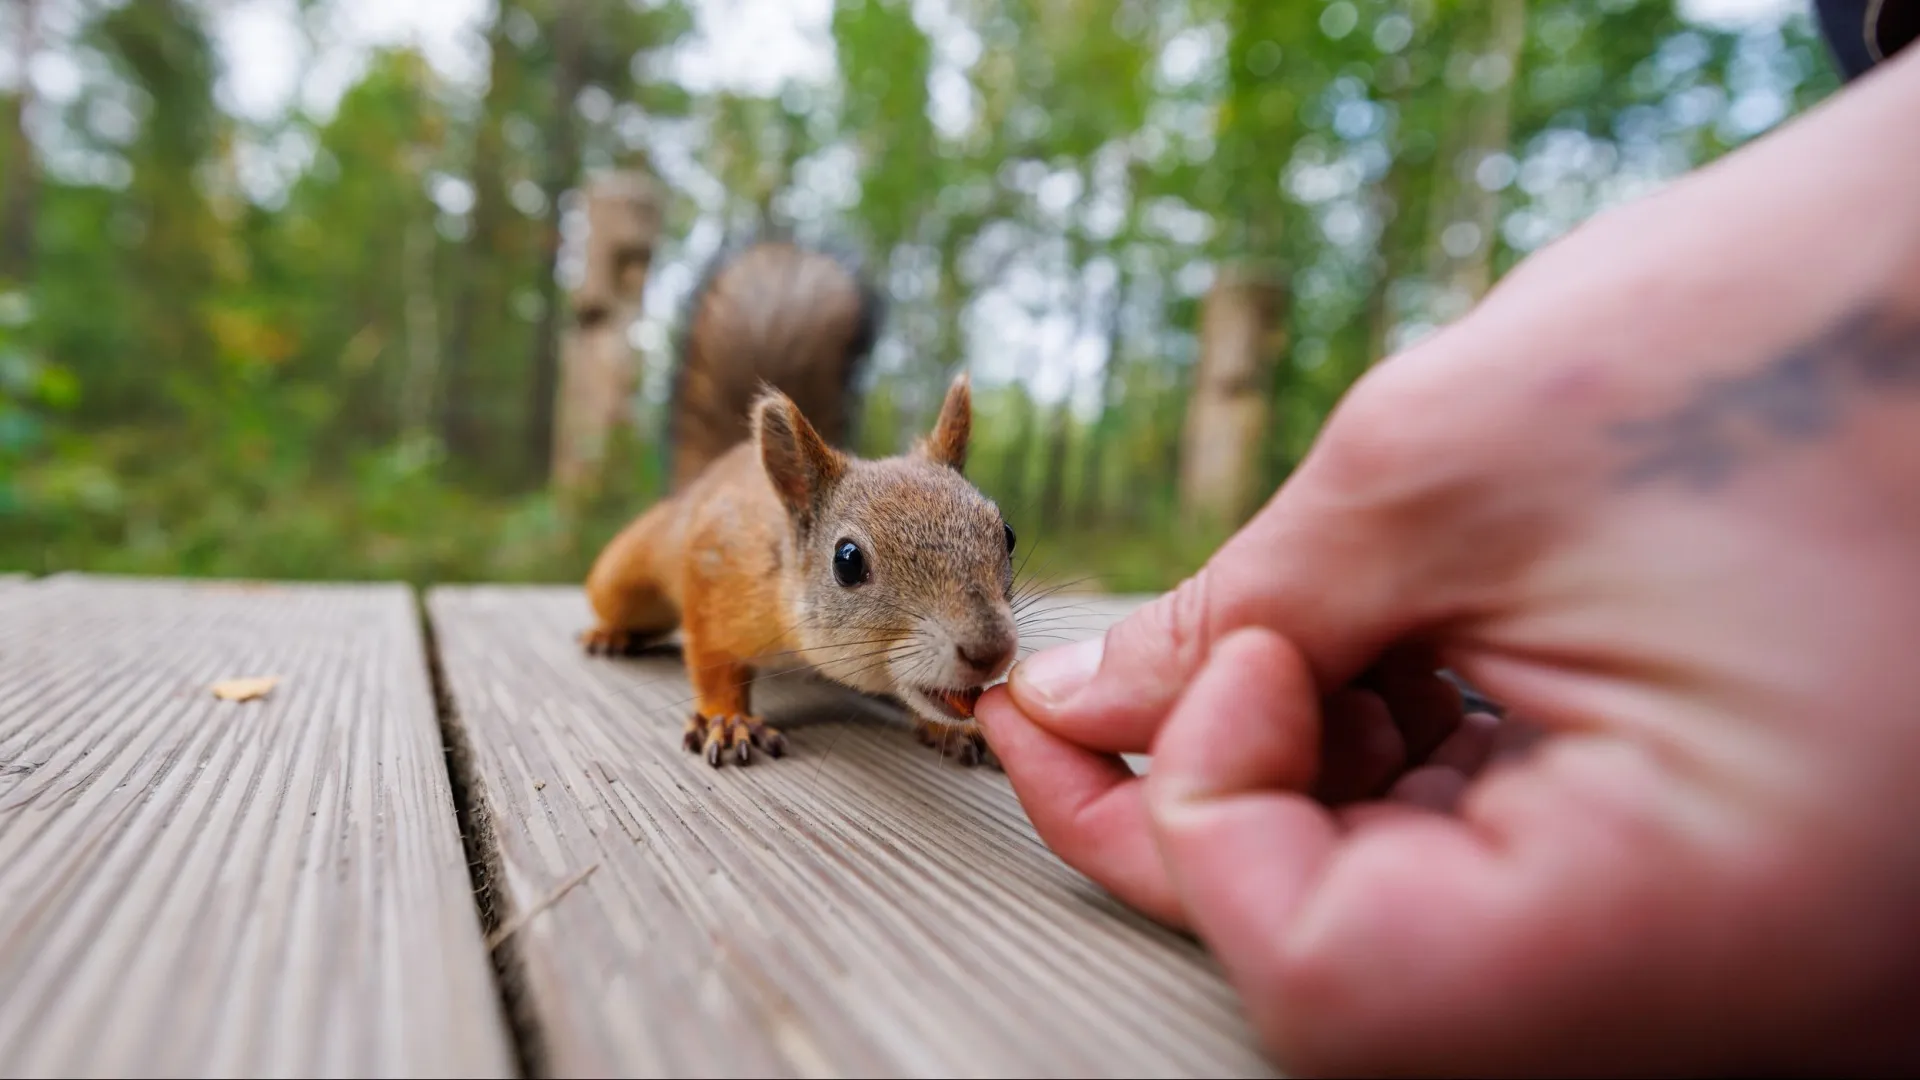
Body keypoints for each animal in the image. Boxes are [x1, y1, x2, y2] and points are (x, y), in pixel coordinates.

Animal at [576, 239, 1021, 768]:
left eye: (1008, 536)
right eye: (847, 561)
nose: (991, 651)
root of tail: (721, 463)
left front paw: (953, 729)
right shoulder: (716, 578)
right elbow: (713, 661)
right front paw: (728, 720)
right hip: (628, 576)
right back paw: (609, 635)